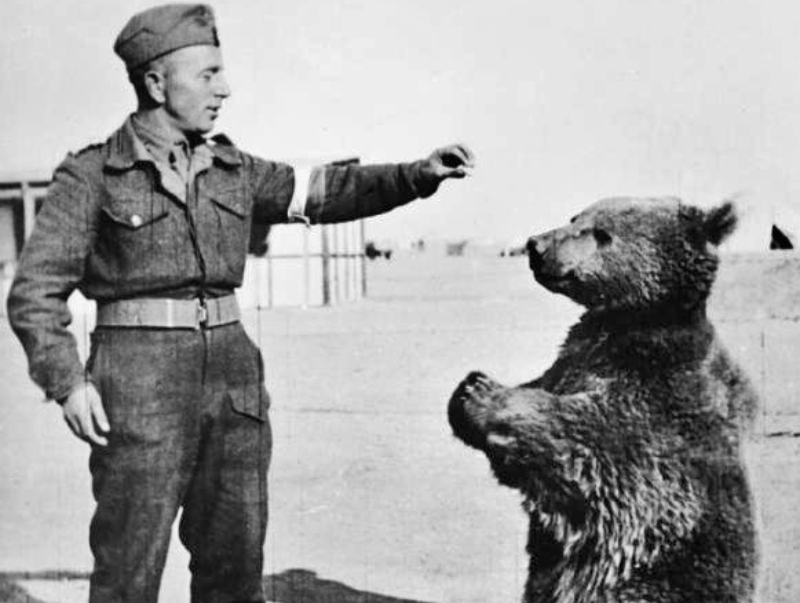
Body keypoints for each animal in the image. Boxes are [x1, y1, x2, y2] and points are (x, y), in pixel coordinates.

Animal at [448, 197, 759, 603]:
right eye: (575, 216)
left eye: (602, 233)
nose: (536, 245)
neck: (631, 321)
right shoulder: (573, 359)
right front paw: (467, 389)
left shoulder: (655, 395)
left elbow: (587, 441)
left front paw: (481, 392)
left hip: (648, 584)